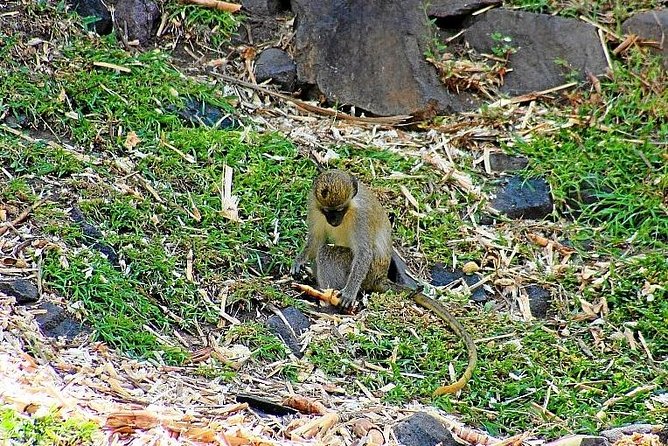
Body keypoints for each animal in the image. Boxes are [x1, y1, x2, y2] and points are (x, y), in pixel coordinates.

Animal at [292, 170, 474, 394]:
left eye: (340, 210)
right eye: (328, 212)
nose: (334, 221)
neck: (351, 208)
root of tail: (380, 278)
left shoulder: (360, 218)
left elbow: (363, 254)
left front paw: (349, 293)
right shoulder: (314, 206)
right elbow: (315, 240)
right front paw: (298, 262)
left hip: (367, 275)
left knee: (327, 253)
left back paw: (327, 301)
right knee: (321, 249)